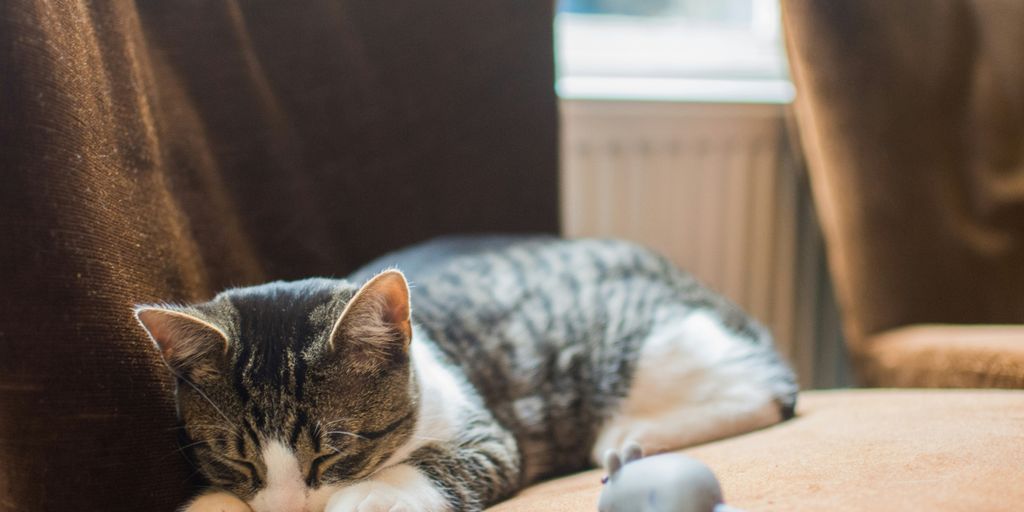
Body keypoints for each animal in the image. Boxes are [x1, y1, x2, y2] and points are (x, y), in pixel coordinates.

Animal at [134, 235, 798, 512]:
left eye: (332, 454)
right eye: (235, 461)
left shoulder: (490, 437)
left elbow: (433, 467)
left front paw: (369, 494)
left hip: (660, 347)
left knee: (769, 389)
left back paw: (632, 438)